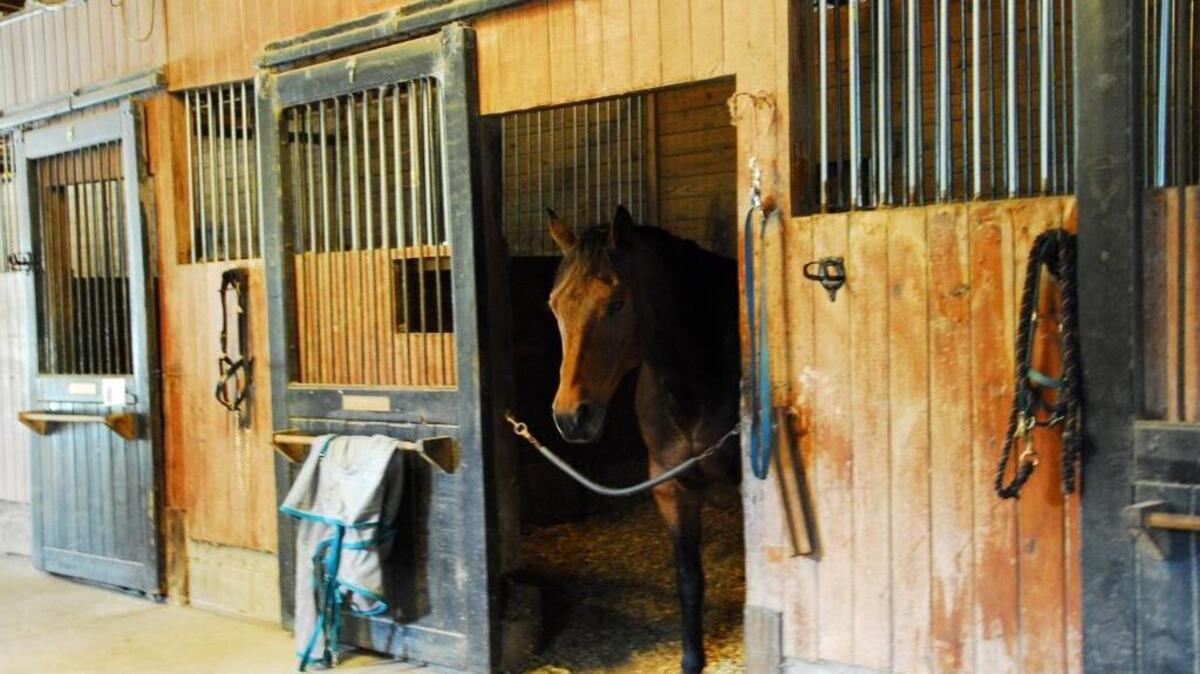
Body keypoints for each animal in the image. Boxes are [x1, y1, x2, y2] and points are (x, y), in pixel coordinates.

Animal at [545, 205, 741, 674]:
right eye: (554, 305)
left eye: (616, 303)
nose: (570, 417)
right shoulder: (671, 484)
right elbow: (689, 578)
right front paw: (691, 659)